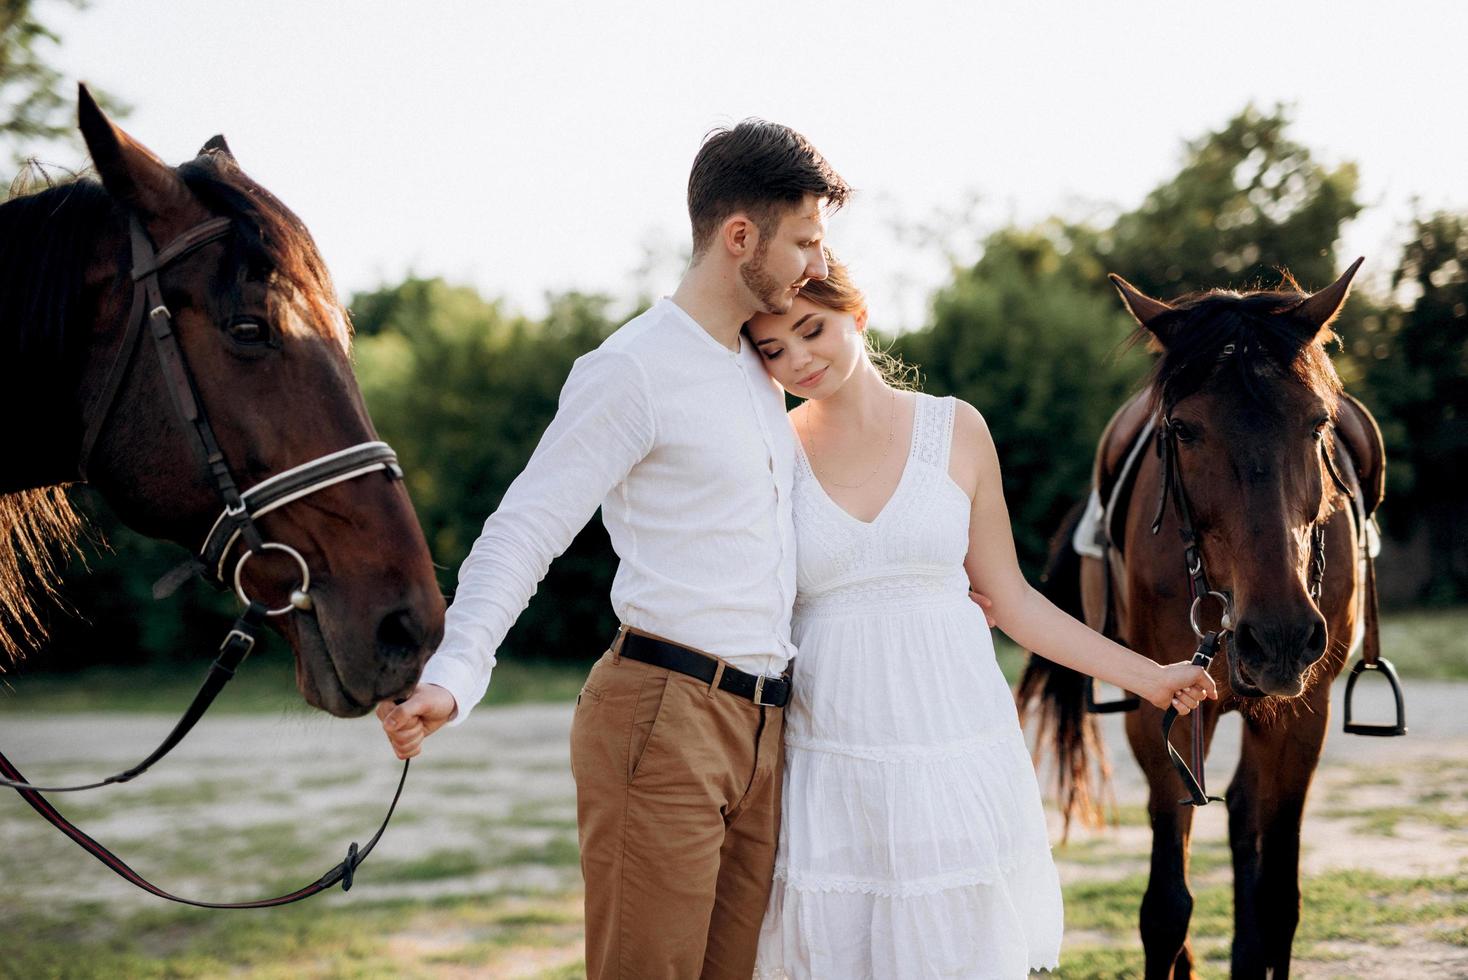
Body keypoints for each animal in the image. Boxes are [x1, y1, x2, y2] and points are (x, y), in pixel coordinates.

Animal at [1015, 262, 1403, 979]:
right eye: (1184, 429)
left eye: (1317, 424)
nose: (1279, 637)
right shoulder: (1158, 708)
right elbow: (1166, 906)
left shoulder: (1305, 715)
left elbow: (1279, 897)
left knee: (1245, 815)